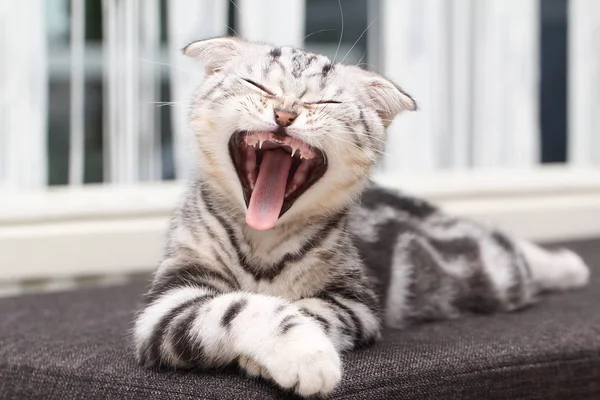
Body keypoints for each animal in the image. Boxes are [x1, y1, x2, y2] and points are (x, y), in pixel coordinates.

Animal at [132, 37, 592, 396]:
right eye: (257, 85)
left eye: (326, 101)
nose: (285, 114)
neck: (263, 242)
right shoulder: (167, 306)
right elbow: (241, 307)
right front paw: (304, 355)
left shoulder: (357, 303)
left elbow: (306, 310)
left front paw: (301, 355)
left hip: (485, 272)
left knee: (508, 248)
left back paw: (568, 265)